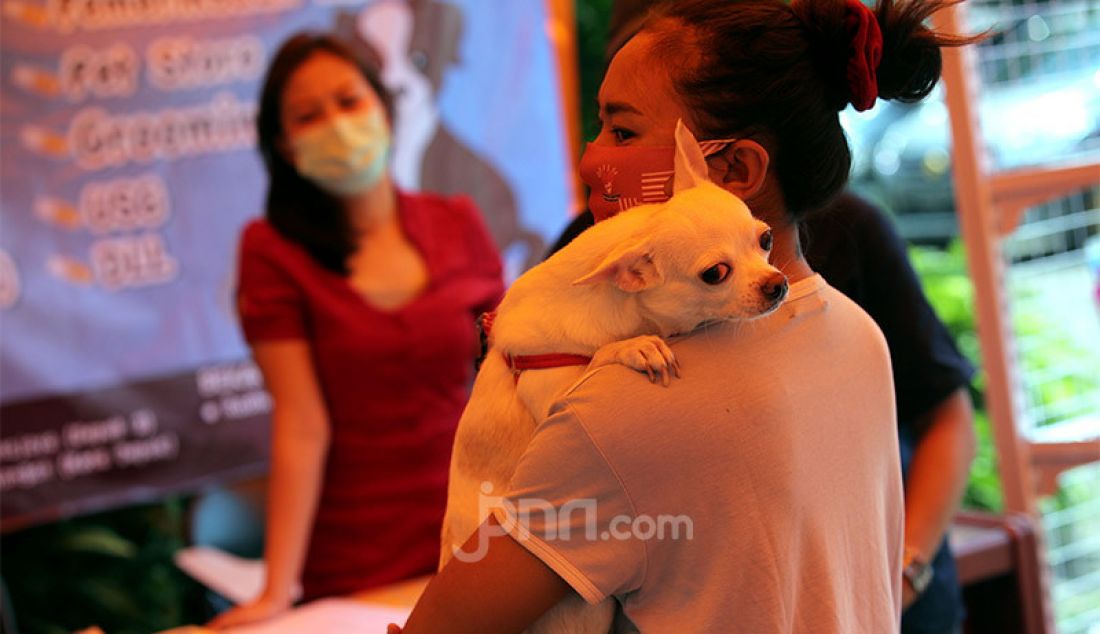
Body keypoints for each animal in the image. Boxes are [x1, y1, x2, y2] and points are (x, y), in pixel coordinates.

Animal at [437, 121, 792, 629]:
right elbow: (600, 356)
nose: (776, 284)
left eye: (764, 241)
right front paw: (633, 347)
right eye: (715, 273)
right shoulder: (552, 386)